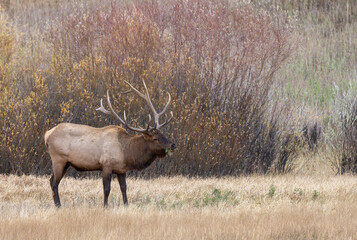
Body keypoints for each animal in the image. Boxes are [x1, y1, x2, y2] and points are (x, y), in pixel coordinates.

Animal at [44, 80, 175, 206]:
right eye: (155, 138)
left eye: (163, 134)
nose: (173, 145)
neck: (126, 152)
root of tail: (47, 134)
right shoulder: (106, 165)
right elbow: (106, 189)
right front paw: (105, 206)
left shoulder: (121, 170)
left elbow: (124, 188)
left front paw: (126, 205)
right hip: (58, 159)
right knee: (54, 182)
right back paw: (58, 205)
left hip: (66, 163)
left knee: (51, 180)